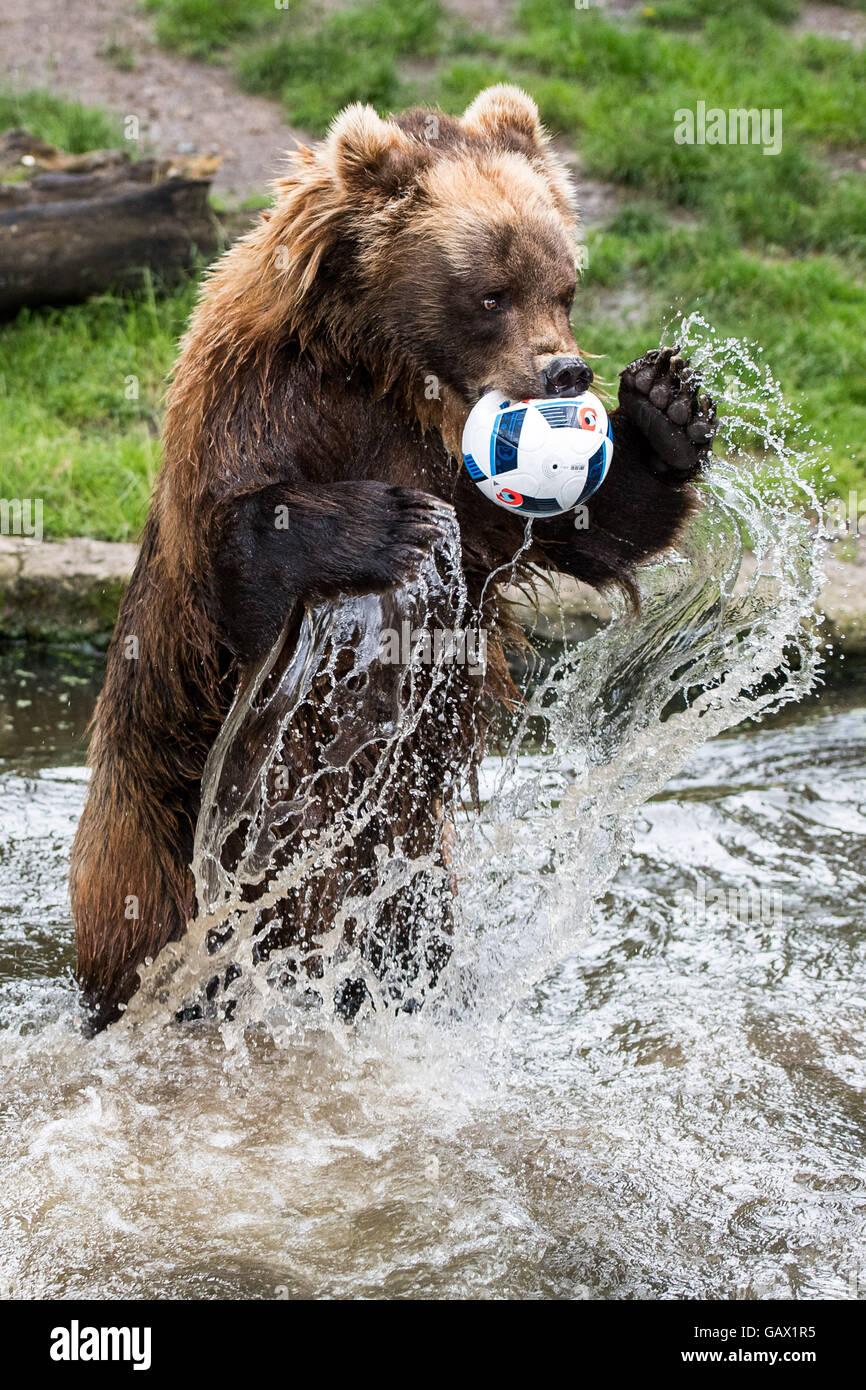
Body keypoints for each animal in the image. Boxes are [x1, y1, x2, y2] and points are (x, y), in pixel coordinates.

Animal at [71, 86, 717, 1034]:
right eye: (490, 294)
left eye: (566, 285)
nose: (565, 370)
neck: (379, 367)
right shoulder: (256, 414)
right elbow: (246, 577)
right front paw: (386, 523)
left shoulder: (473, 494)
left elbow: (595, 527)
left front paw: (667, 407)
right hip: (161, 851)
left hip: (407, 872)